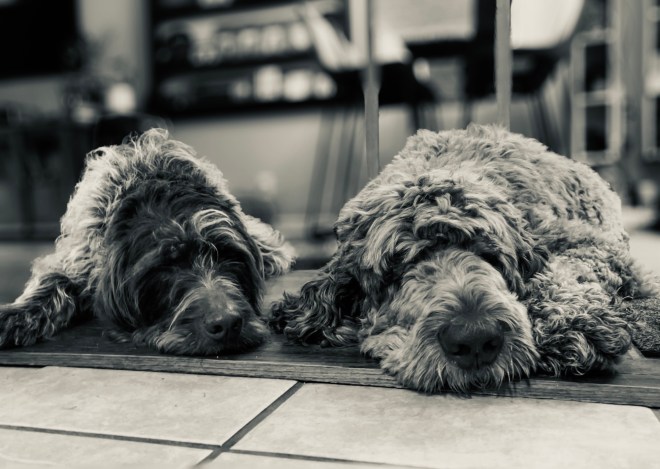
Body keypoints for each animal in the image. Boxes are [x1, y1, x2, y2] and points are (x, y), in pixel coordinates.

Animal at [0, 129, 294, 355]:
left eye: (228, 256)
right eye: (167, 266)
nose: (228, 323)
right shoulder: (80, 256)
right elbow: (52, 282)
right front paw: (15, 313)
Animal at [271, 124, 659, 392]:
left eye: (489, 255)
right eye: (397, 268)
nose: (474, 339)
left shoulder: (589, 243)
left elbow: (565, 269)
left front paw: (573, 324)